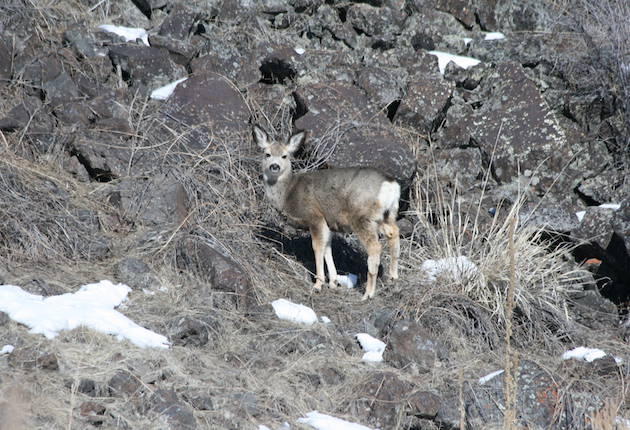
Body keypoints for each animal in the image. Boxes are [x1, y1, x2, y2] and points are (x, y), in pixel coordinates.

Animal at [254, 123, 402, 298]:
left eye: (285, 156)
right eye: (267, 154)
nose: (274, 166)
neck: (288, 193)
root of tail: (391, 185)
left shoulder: (314, 216)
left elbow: (317, 247)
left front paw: (318, 284)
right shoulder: (328, 222)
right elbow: (327, 248)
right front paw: (333, 282)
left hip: (362, 217)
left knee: (375, 248)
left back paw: (368, 294)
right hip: (387, 215)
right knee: (394, 233)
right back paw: (393, 277)